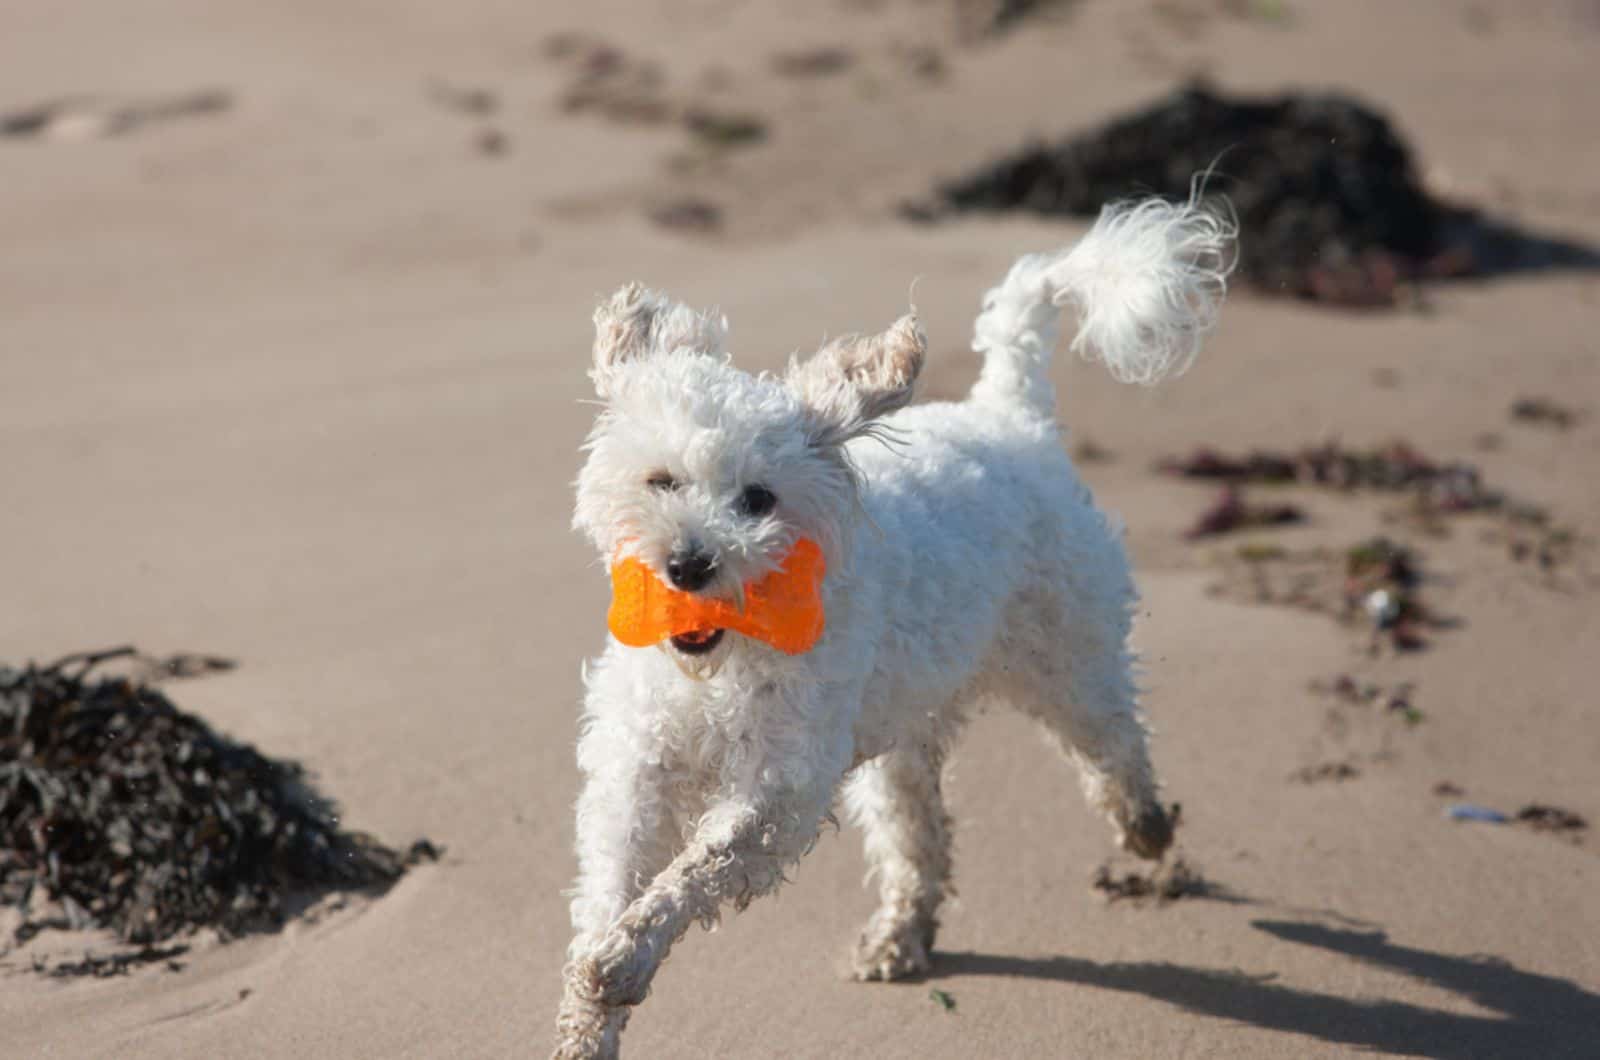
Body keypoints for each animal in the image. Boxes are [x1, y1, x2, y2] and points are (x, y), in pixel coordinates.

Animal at [556, 195, 1228, 1056]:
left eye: (758, 499)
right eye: (662, 481)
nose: (690, 565)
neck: (720, 666)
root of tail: (1008, 411)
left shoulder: (781, 786)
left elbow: (697, 868)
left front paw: (624, 958)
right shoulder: (635, 764)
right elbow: (612, 876)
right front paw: (590, 1011)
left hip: (1070, 658)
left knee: (1115, 746)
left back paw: (1146, 830)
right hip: (905, 736)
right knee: (921, 838)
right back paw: (899, 937)